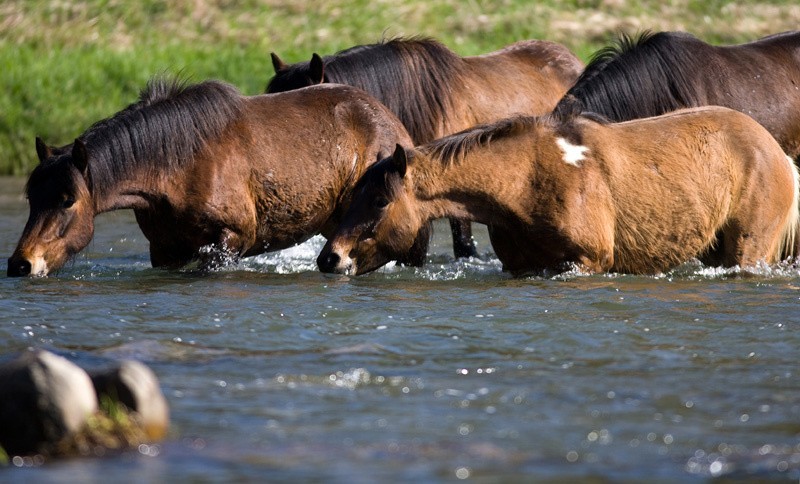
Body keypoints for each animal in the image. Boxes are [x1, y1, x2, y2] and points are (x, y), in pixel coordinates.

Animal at [6, 78, 416, 278]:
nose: (20, 264)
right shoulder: (166, 252)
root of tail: (393, 122)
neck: (175, 170)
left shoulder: (230, 240)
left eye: (67, 200)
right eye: (32, 198)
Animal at [318, 108, 800, 278]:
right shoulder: (521, 268)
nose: (329, 259)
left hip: (747, 250)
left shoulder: (588, 262)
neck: (527, 181)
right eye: (353, 197)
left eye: (380, 200)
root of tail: (777, 154)